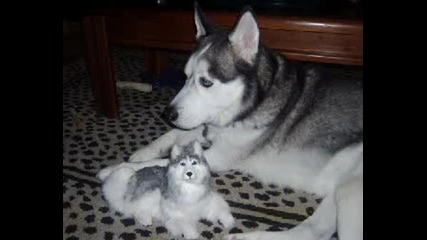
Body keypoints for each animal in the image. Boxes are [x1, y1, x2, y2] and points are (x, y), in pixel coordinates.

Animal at [101, 141, 234, 238]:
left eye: (194, 163)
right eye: (182, 164)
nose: (189, 173)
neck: (190, 188)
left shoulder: (209, 202)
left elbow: (221, 210)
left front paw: (229, 221)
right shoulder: (177, 215)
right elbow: (186, 225)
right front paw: (192, 235)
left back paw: (146, 219)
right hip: (151, 193)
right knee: (135, 209)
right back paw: (145, 219)